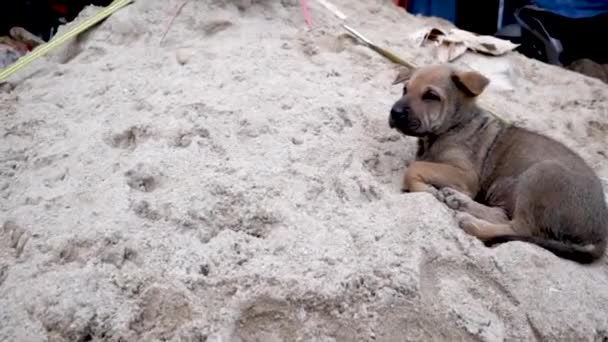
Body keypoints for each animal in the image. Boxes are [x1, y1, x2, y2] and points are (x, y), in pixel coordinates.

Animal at [390, 62, 608, 264]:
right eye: (405, 89)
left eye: (431, 96)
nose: (394, 112)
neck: (454, 126)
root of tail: (599, 237)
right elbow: (418, 164)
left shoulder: (466, 176)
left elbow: (414, 168)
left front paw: (424, 188)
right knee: (503, 216)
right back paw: (460, 201)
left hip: (543, 173)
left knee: (520, 229)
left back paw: (473, 223)